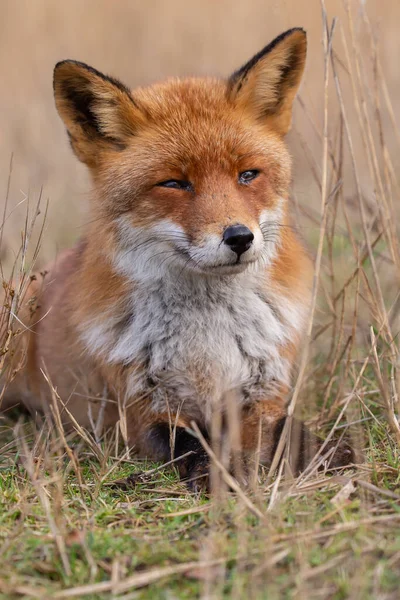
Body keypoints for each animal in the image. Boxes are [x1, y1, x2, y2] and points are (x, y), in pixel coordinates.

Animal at [3, 28, 354, 488]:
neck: (209, 341)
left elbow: (290, 431)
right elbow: (189, 445)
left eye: (247, 175)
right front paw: (223, 476)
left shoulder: (263, 391)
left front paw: (329, 452)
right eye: (174, 183)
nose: (240, 237)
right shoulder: (143, 409)